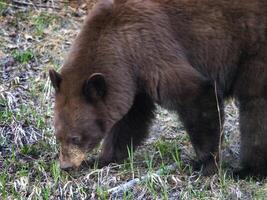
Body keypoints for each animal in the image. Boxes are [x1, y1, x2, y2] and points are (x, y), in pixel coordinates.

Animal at [49, 0, 267, 177]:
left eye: (75, 138)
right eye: (58, 136)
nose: (66, 166)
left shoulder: (151, 47)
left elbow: (197, 94)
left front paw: (205, 164)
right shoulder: (133, 80)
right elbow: (132, 118)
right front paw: (103, 159)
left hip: (253, 48)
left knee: (255, 106)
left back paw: (249, 170)